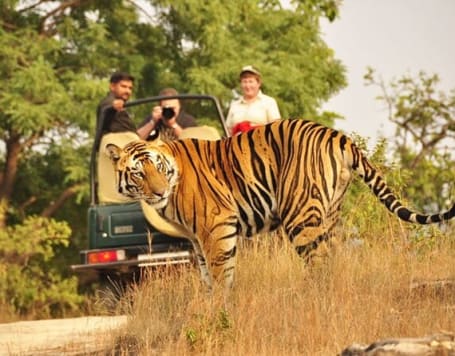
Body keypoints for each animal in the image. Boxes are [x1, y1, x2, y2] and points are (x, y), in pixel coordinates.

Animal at [108, 118, 455, 290]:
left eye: (157, 167)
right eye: (138, 173)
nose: (158, 192)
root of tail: (337, 135)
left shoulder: (216, 227)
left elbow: (221, 276)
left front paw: (220, 313)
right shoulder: (197, 239)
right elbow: (207, 277)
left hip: (300, 215)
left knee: (318, 263)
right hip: (329, 214)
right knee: (332, 259)